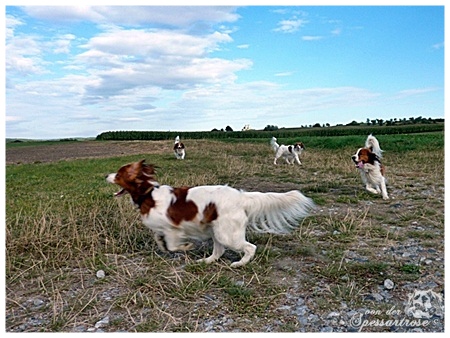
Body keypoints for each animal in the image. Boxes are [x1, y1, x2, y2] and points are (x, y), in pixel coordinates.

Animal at [106, 160, 316, 268]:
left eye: (118, 174)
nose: (105, 175)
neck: (148, 194)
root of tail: (241, 196)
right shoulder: (161, 229)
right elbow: (160, 241)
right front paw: (166, 247)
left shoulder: (173, 229)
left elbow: (173, 246)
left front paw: (187, 246)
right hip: (217, 230)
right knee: (219, 250)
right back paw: (206, 261)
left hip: (227, 234)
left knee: (250, 247)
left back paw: (239, 263)